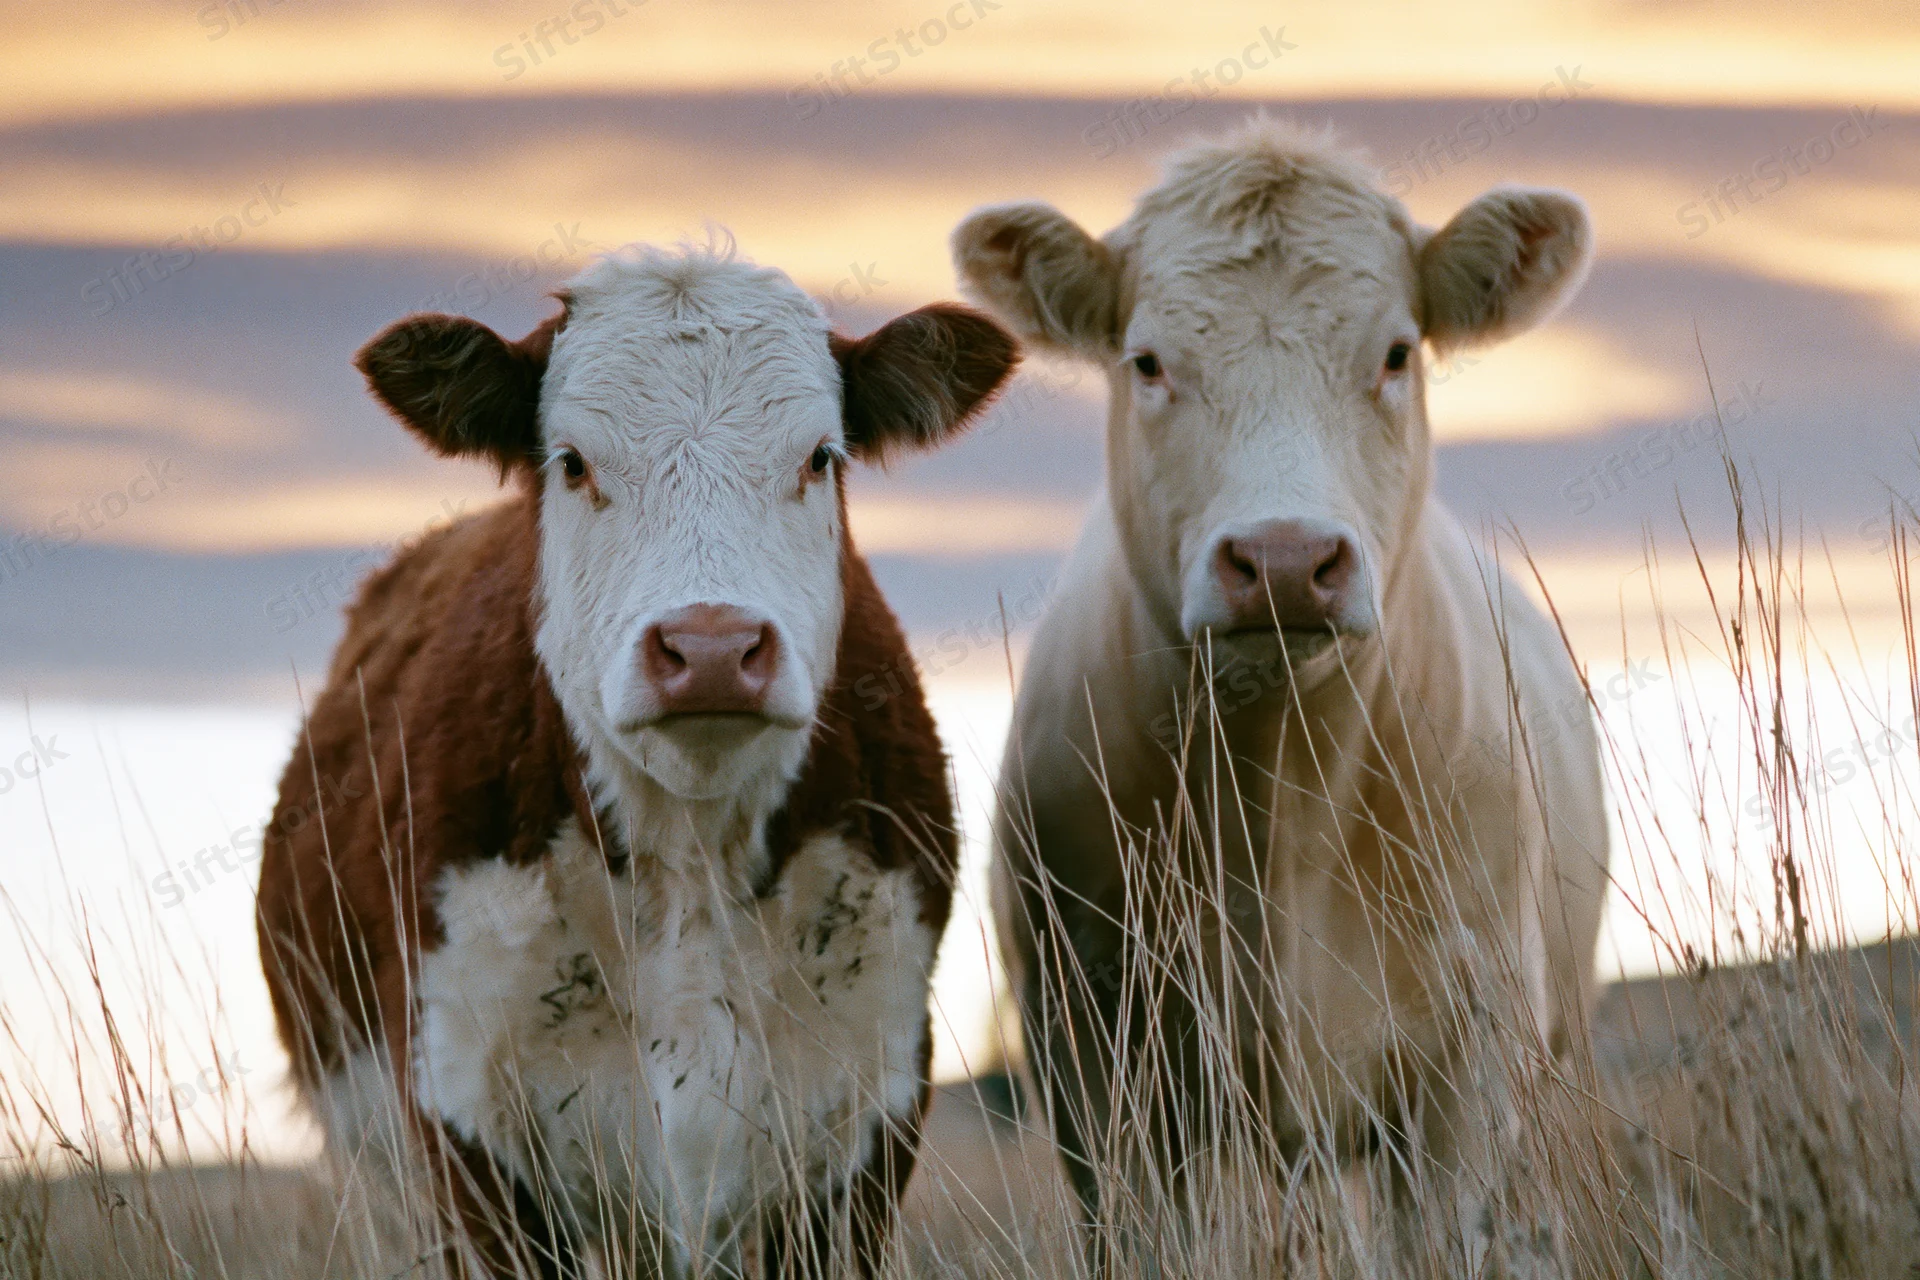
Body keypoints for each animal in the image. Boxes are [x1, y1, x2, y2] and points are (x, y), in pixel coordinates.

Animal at [254, 243, 1018, 1279]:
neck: (689, 859)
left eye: (820, 456)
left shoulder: (870, 1109)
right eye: (572, 461)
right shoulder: (465, 1127)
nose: (711, 647)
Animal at [952, 119, 1611, 1263]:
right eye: (1148, 361)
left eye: (1396, 353)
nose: (1288, 558)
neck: (1278, 795)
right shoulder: (1098, 1076)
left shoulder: (1469, 1064)